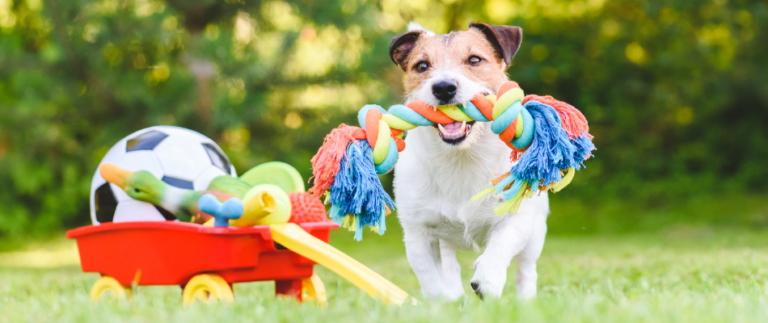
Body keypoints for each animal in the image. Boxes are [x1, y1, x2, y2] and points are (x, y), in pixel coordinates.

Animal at [392, 22, 548, 302]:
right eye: (421, 66)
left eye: (475, 59)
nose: (443, 87)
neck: (462, 157)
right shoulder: (418, 235)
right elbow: (432, 282)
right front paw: (443, 305)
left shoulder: (517, 218)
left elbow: (501, 243)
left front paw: (488, 279)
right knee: (450, 268)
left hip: (536, 232)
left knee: (526, 271)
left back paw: (525, 300)